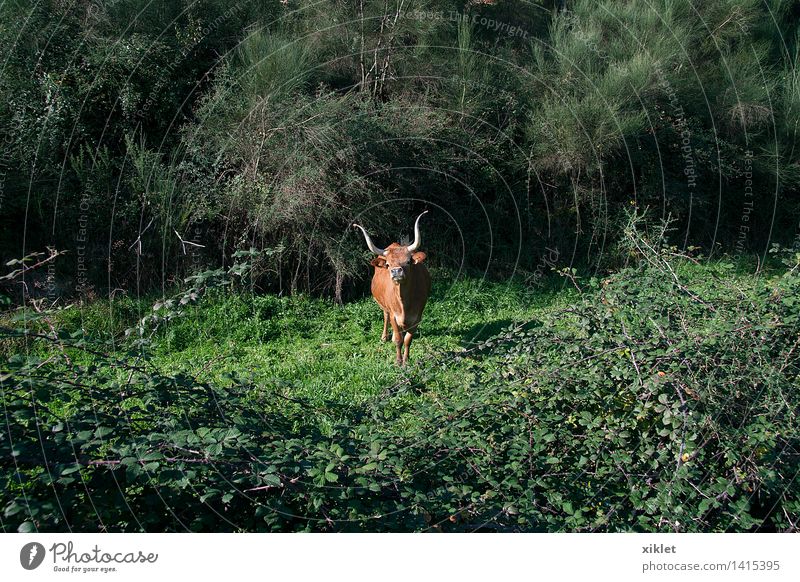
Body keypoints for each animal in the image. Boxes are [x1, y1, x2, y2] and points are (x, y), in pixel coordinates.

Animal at [354, 211, 432, 364]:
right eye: (388, 264)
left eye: (408, 261)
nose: (396, 271)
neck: (404, 303)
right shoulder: (394, 316)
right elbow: (398, 339)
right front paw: (398, 361)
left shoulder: (417, 317)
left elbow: (407, 340)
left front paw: (406, 360)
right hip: (385, 306)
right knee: (385, 316)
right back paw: (384, 337)